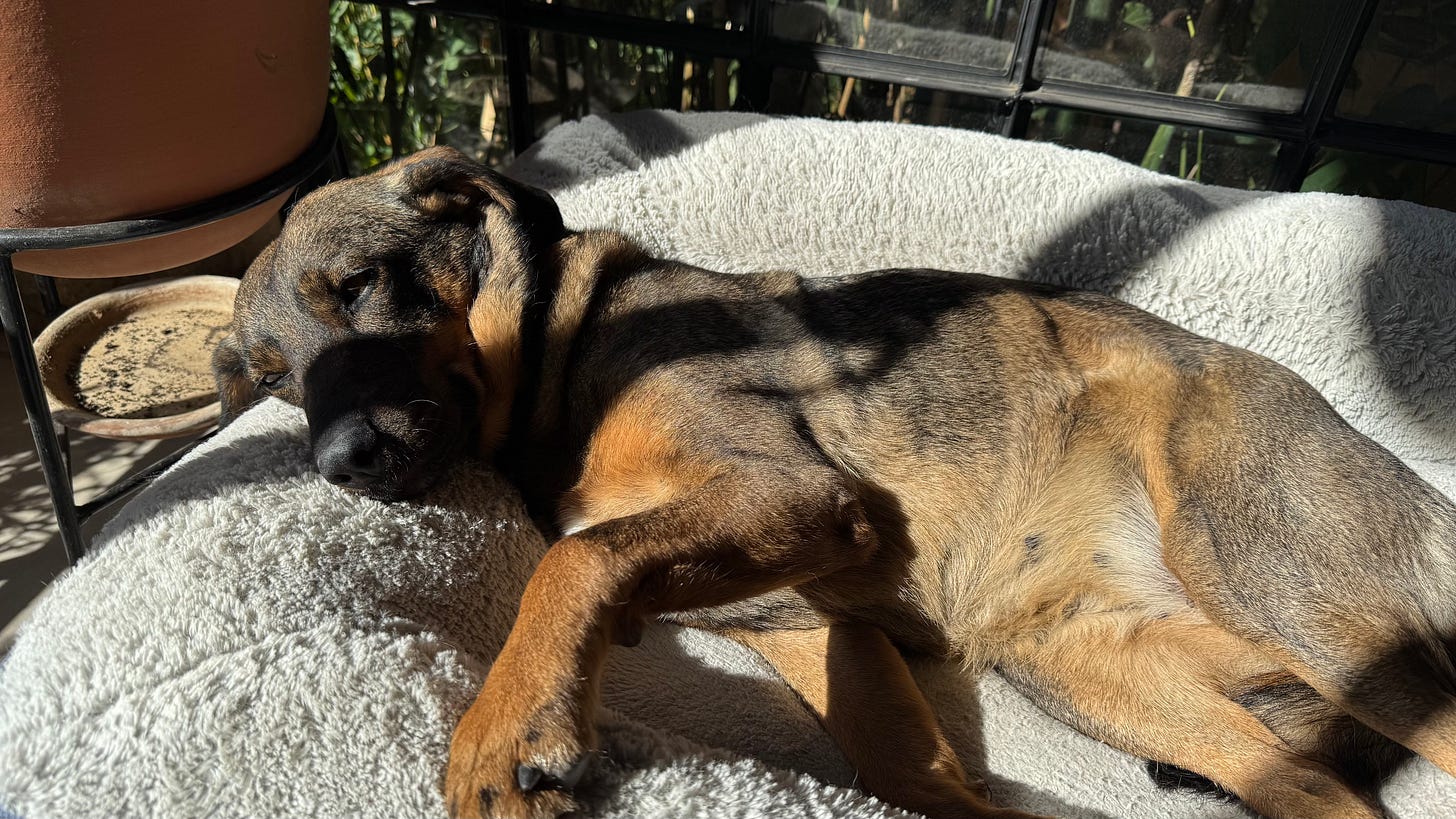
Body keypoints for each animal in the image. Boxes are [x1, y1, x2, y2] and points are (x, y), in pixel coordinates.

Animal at [212, 147, 1456, 816]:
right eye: (272, 379)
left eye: (361, 285)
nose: (340, 464)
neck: (568, 353)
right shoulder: (818, 621)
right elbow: (900, 762)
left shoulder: (795, 495)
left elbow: (572, 559)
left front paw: (505, 726)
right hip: (1086, 667)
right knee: (1319, 792)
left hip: (1276, 585)